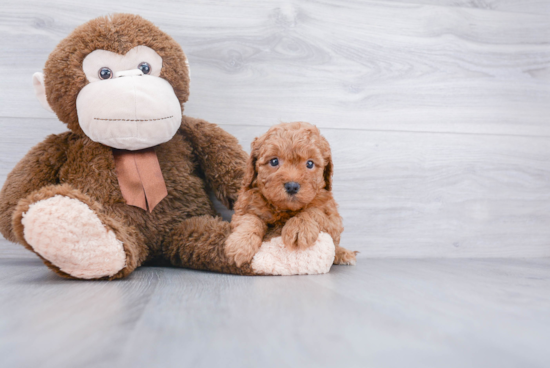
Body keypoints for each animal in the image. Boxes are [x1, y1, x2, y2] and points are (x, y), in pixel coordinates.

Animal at [224, 121, 358, 268]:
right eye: (274, 161)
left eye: (310, 163)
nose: (292, 186)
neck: (284, 210)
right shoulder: (245, 207)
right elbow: (249, 220)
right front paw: (241, 244)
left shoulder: (333, 220)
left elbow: (314, 211)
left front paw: (299, 227)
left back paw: (343, 254)